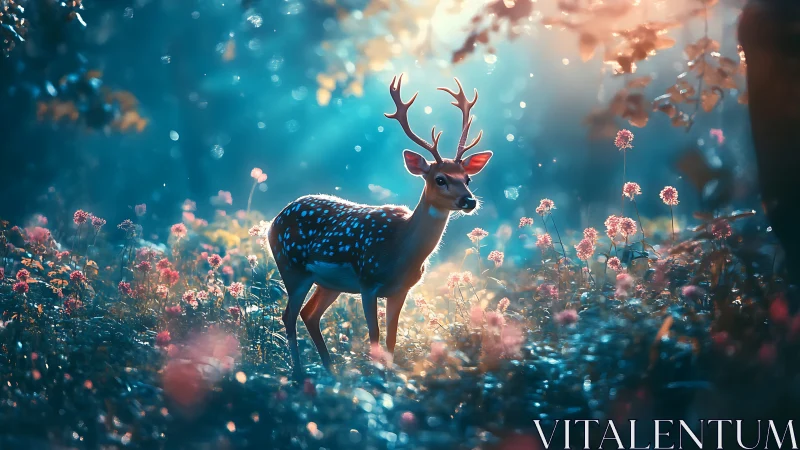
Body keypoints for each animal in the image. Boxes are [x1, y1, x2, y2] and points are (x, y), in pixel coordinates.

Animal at [268, 74, 493, 378]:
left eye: (467, 178)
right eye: (440, 179)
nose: (469, 201)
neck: (399, 250)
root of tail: (273, 221)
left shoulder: (401, 290)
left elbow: (391, 338)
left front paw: (390, 376)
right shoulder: (367, 281)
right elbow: (373, 336)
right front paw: (377, 378)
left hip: (328, 282)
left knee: (309, 314)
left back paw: (330, 370)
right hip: (292, 267)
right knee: (288, 315)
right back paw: (299, 374)